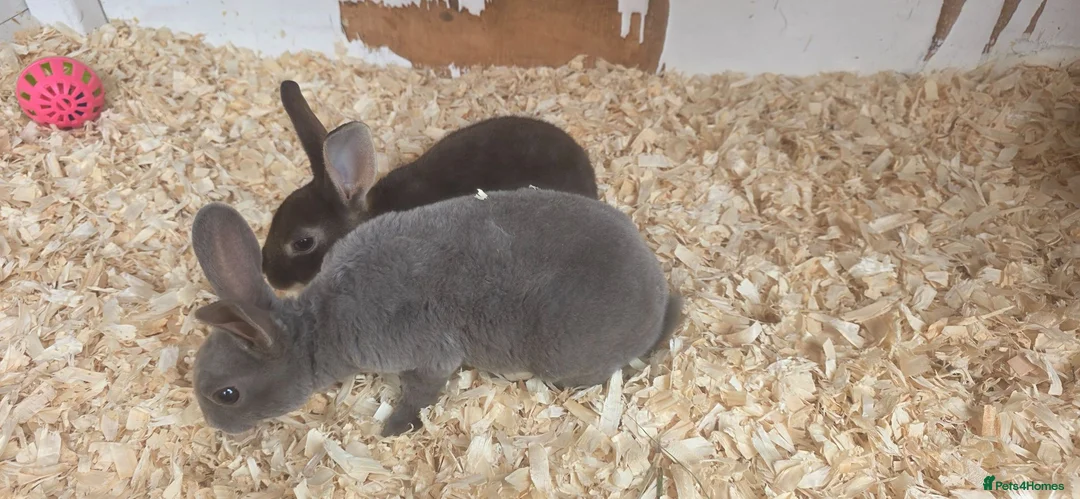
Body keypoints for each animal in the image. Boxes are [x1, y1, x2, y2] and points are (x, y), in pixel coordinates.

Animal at [189, 187, 682, 437]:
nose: (216, 429)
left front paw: (392, 428)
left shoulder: (426, 356)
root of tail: (658, 296)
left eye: (226, 394)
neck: (320, 323)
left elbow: (420, 393)